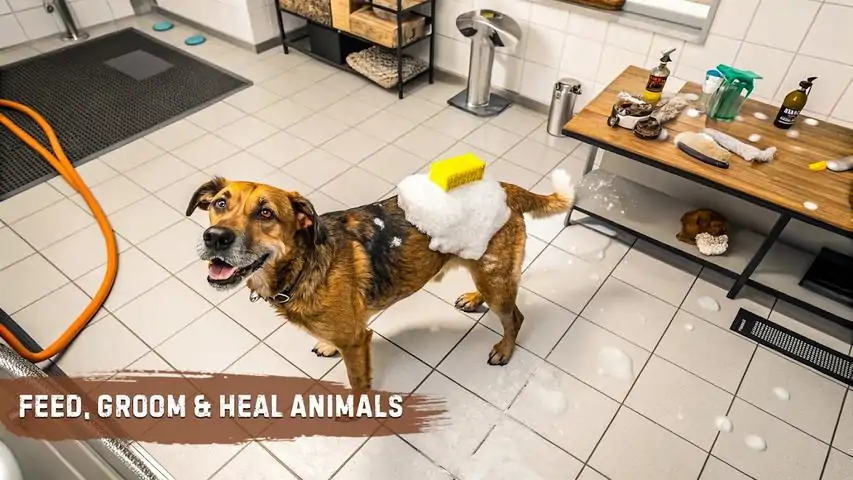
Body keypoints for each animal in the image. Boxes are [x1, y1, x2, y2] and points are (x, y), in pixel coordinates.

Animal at [186, 175, 574, 392]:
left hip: (496, 280)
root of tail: (505, 188)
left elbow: (357, 379)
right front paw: (327, 346)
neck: (303, 266)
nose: (214, 238)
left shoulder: (357, 341)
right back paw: (473, 298)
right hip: (485, 269)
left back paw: (504, 349)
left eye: (265, 213)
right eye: (220, 204)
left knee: (515, 318)